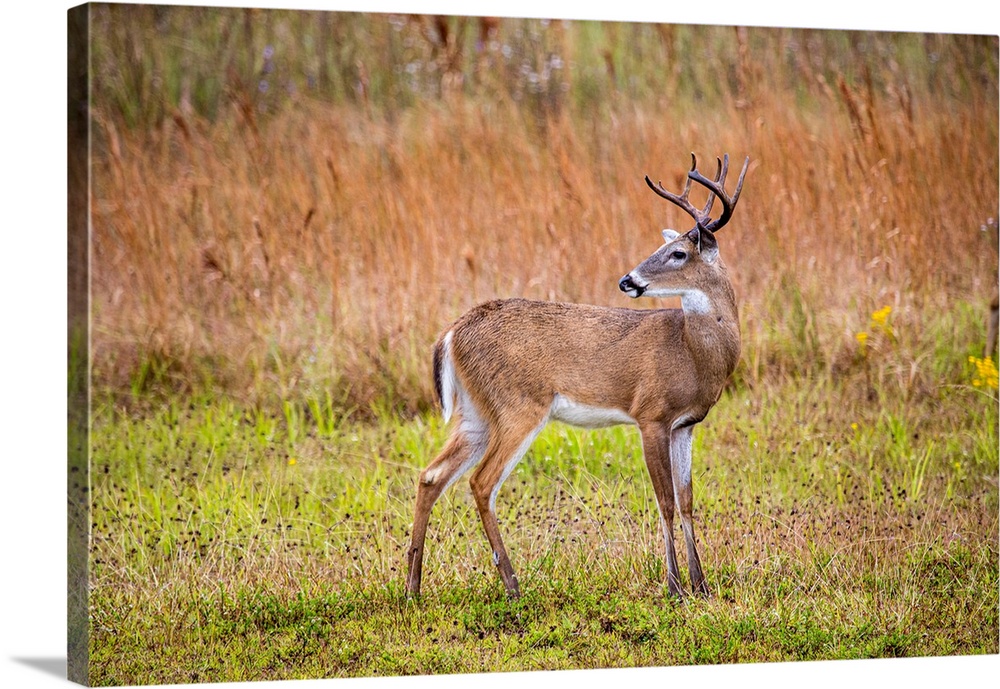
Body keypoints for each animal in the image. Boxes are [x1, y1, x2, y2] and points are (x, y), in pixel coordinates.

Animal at [405, 153, 750, 599]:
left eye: (676, 253)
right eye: (665, 248)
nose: (627, 280)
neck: (692, 352)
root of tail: (451, 332)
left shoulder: (685, 425)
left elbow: (688, 499)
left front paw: (701, 585)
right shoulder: (650, 414)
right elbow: (666, 501)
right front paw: (674, 587)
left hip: (476, 412)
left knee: (431, 475)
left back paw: (413, 586)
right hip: (518, 406)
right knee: (481, 483)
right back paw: (513, 585)